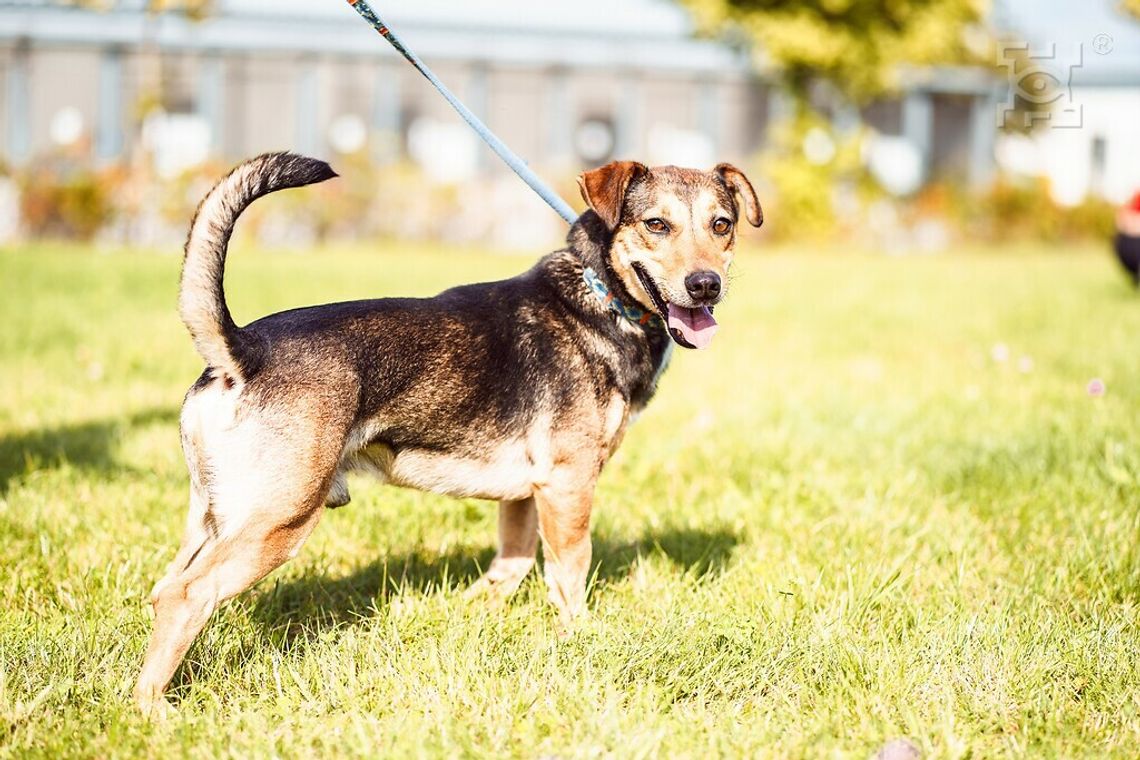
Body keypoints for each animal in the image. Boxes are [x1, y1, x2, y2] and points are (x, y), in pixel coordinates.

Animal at [133, 152, 761, 715]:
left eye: (721, 225)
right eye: (657, 224)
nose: (705, 286)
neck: (601, 296)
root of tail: (242, 351)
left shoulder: (526, 494)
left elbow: (511, 564)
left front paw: (474, 615)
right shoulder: (569, 483)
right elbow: (569, 570)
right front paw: (579, 639)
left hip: (213, 517)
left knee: (166, 589)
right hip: (279, 519)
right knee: (187, 596)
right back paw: (152, 709)